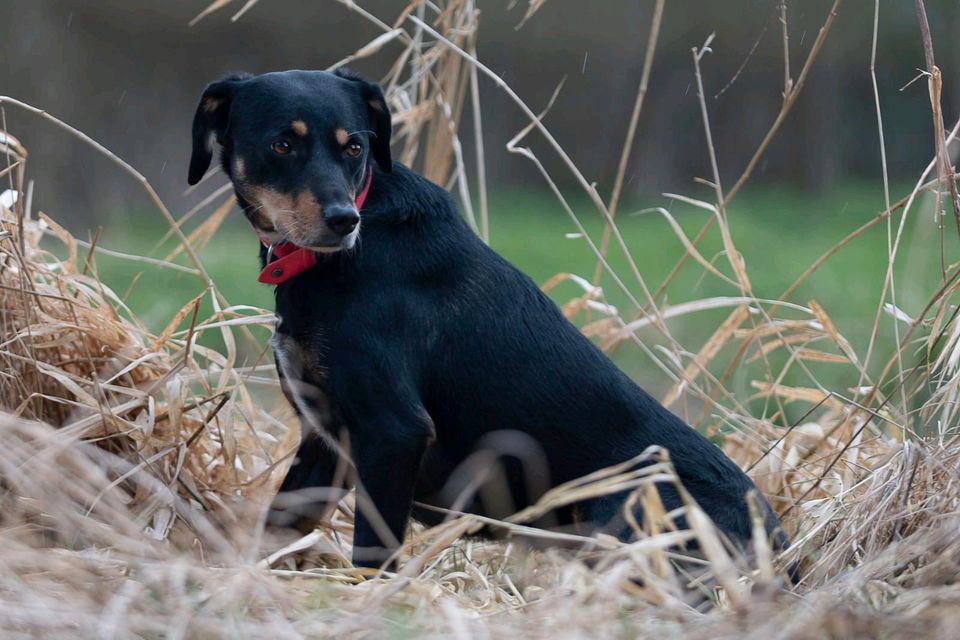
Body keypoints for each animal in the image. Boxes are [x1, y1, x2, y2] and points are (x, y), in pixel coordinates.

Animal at [186, 70, 788, 568]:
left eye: (354, 147)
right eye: (281, 144)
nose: (343, 220)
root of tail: (785, 555)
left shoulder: (392, 429)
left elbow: (373, 555)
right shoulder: (325, 437)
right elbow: (279, 528)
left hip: (624, 510)